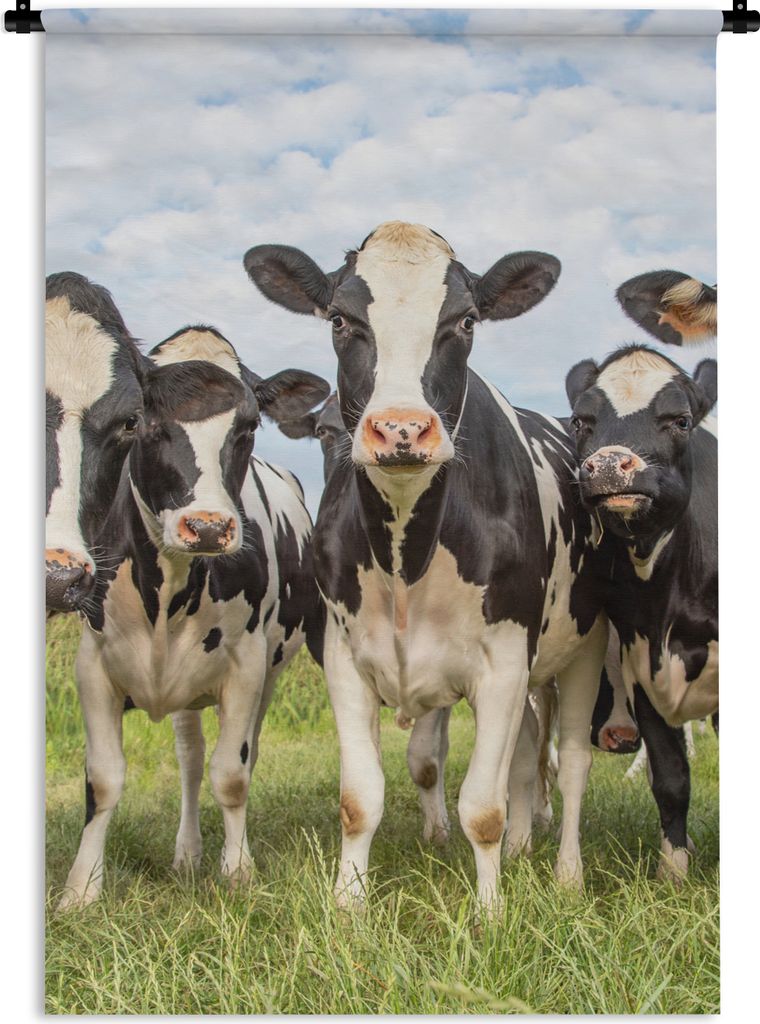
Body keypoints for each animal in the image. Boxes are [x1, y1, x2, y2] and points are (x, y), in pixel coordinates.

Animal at [55, 323, 329, 909]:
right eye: (141, 422)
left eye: (249, 425)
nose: (206, 527)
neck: (167, 595)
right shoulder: (93, 664)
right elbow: (103, 778)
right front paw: (81, 889)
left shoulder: (247, 665)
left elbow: (232, 773)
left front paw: (239, 871)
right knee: (189, 760)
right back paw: (186, 853)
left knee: (231, 756)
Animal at [244, 221, 609, 913]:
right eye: (340, 318)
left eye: (464, 321)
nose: (401, 429)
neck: (405, 556)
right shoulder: (343, 657)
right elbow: (361, 799)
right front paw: (349, 907)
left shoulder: (504, 663)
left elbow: (484, 807)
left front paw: (490, 914)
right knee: (529, 750)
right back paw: (523, 845)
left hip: (584, 649)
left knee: (571, 762)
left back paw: (569, 873)